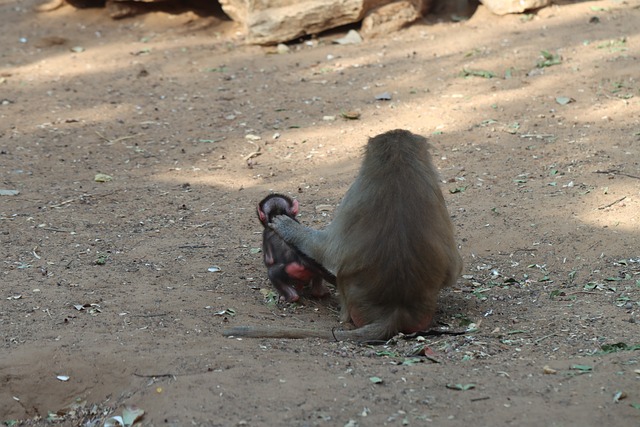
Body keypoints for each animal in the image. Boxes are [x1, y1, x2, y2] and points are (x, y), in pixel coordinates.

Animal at [226, 129, 464, 342]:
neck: (397, 165)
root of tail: (396, 310)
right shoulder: (434, 191)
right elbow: (454, 268)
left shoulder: (354, 194)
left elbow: (329, 251)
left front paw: (286, 227)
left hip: (351, 304)